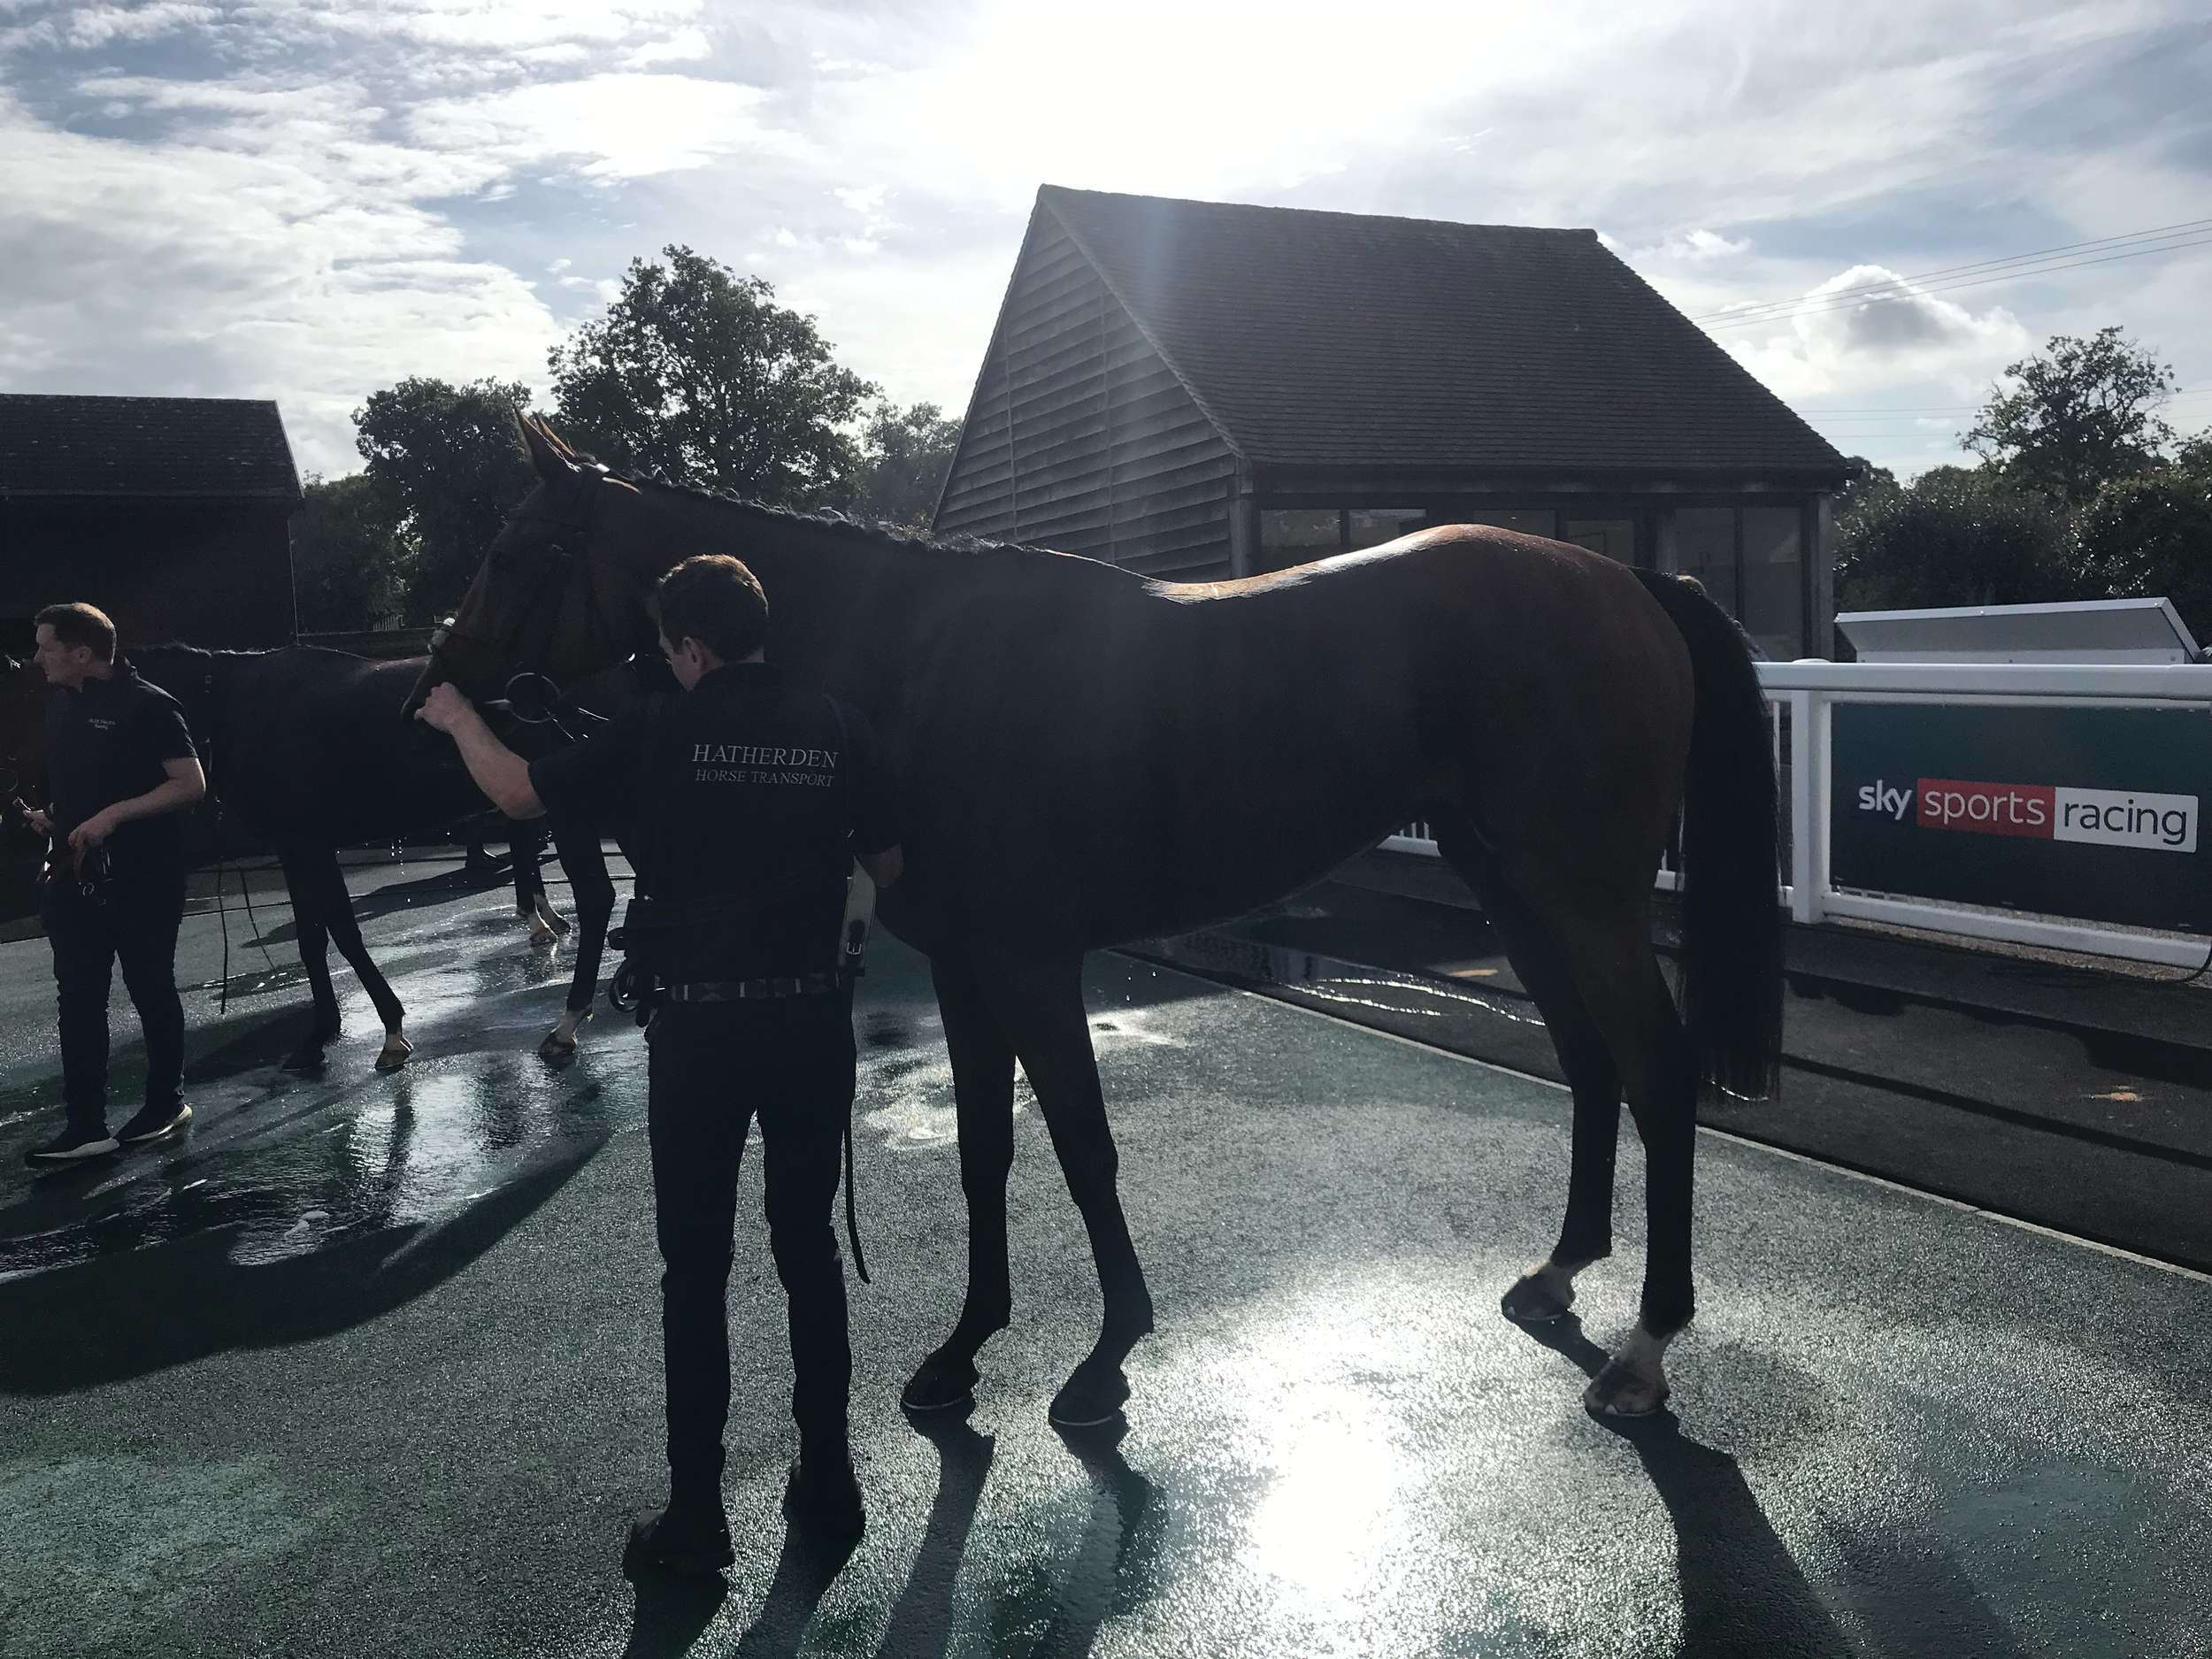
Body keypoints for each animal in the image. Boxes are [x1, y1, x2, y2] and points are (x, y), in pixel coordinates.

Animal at [1, 644, 638, 1071]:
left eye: (32, 704)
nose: (30, 812)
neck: (236, 706)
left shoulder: (308, 842)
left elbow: (342, 930)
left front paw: (391, 1032)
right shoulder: (294, 846)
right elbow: (312, 935)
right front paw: (321, 1033)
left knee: (597, 896)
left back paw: (567, 1020)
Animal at [410, 415, 1782, 1421]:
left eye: (514, 552)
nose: (435, 685)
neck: (916, 663)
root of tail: (1626, 576)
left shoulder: (1029, 960)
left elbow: (1082, 1143)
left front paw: (1111, 1346)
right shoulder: (966, 969)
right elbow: (987, 1152)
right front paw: (965, 1343)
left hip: (1582, 890)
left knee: (1655, 1069)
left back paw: (1649, 1346)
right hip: (1513, 880)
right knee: (1590, 1058)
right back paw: (1561, 1269)